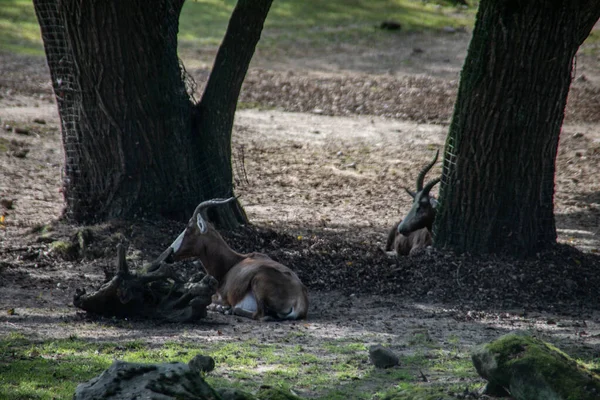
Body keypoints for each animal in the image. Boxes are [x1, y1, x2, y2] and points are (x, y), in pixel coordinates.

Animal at [164, 198, 308, 320]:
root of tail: (299, 301)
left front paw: (221, 307)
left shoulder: (222, 296)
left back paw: (228, 310)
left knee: (260, 315)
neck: (233, 262)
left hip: (258, 281)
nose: (169, 255)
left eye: (188, 228)